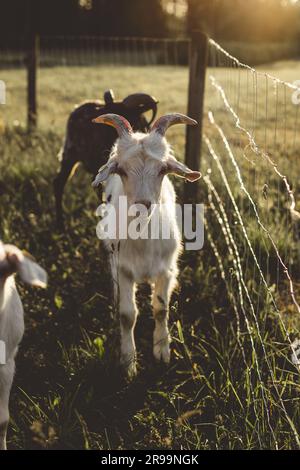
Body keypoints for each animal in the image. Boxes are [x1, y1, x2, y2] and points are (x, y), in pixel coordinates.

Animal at [92, 112, 200, 376]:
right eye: (120, 169)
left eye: (163, 169)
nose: (142, 205)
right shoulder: (122, 269)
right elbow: (127, 315)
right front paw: (128, 361)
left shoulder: (167, 270)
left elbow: (161, 309)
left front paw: (162, 351)